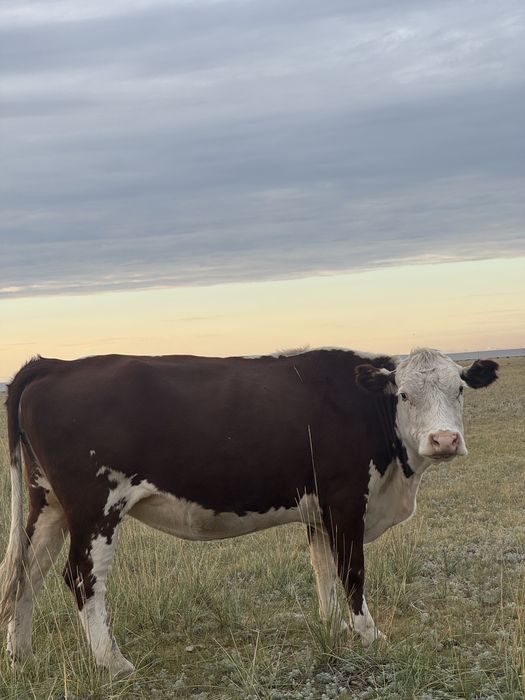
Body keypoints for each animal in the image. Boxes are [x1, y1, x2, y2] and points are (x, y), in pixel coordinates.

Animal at [0, 347, 498, 677]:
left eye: (459, 389)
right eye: (405, 395)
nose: (444, 440)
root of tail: (56, 364)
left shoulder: (318, 512)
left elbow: (322, 570)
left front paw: (333, 627)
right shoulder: (345, 501)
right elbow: (351, 571)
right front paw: (368, 634)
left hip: (49, 504)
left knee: (27, 573)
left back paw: (21, 656)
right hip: (95, 507)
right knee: (82, 578)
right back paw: (113, 662)